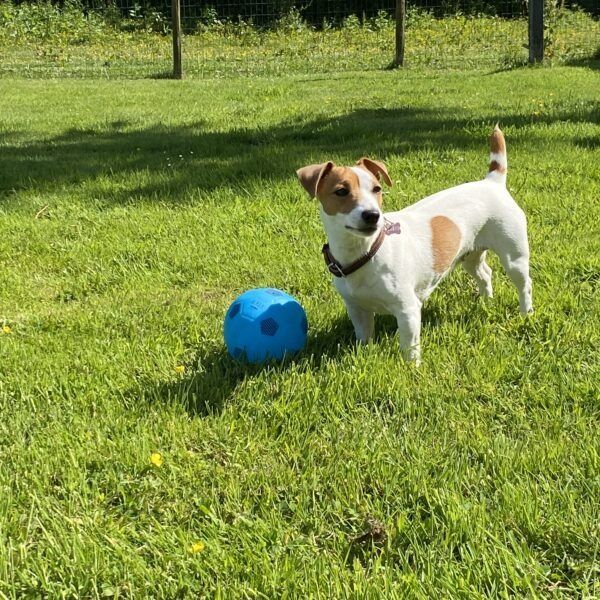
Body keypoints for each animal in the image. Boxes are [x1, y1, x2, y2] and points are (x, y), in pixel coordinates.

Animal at [298, 124, 532, 364]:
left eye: (377, 189)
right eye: (341, 191)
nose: (373, 215)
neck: (367, 252)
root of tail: (492, 182)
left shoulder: (407, 310)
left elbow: (410, 346)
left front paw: (412, 367)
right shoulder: (356, 309)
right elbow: (363, 337)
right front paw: (365, 356)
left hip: (514, 256)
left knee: (525, 284)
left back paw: (526, 313)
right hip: (470, 255)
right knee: (485, 273)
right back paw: (487, 302)